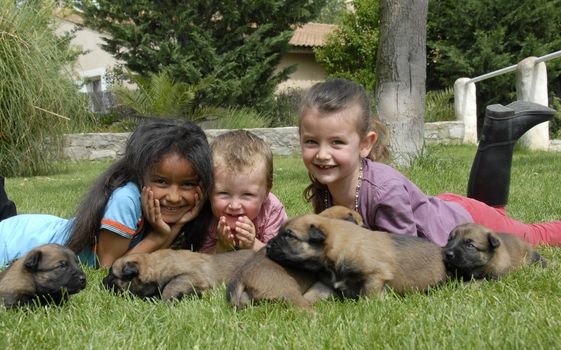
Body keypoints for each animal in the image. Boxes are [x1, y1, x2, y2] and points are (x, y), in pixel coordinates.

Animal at [266, 215, 446, 300]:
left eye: (289, 236)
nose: (267, 245)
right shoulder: (327, 284)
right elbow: (312, 294)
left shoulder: (375, 275)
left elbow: (368, 297)